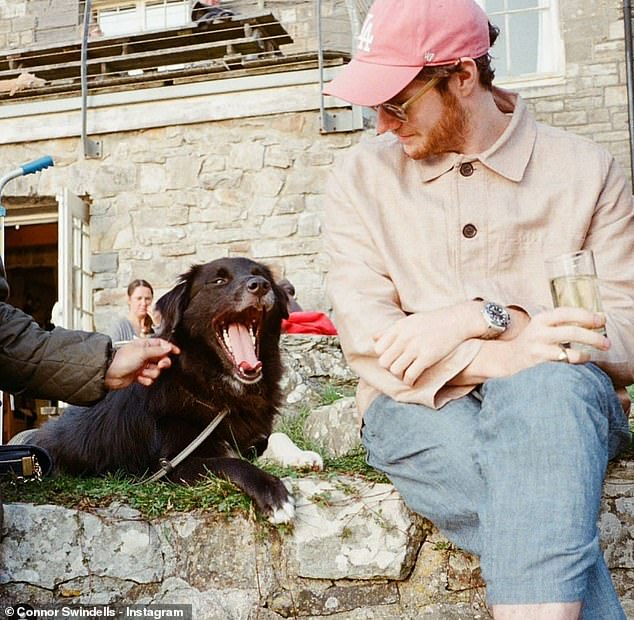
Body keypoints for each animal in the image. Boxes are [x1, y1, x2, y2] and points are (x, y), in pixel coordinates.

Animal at [29, 256, 296, 524]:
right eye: (219, 281)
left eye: (262, 275)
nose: (260, 285)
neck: (222, 393)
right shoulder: (172, 465)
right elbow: (230, 464)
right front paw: (272, 492)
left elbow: (277, 435)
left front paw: (300, 456)